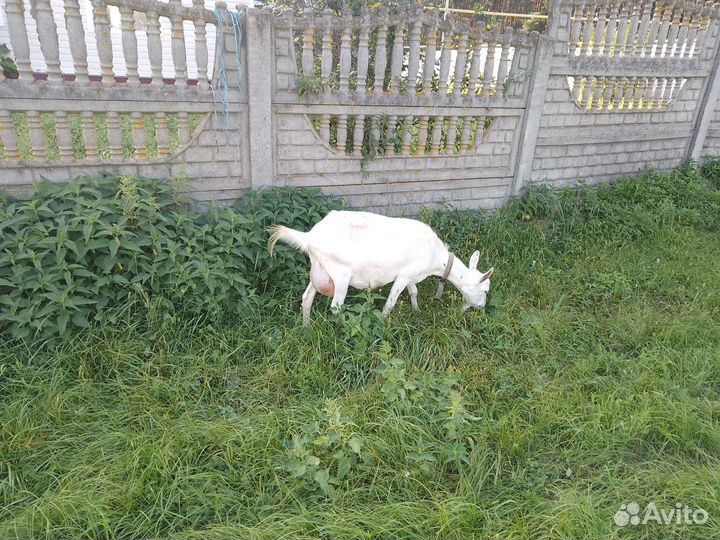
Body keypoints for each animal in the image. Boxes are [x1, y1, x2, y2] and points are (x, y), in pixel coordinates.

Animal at [268, 210, 494, 326]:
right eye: (485, 290)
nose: (482, 307)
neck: (437, 258)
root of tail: (309, 238)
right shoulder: (403, 276)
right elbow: (391, 302)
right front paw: (383, 323)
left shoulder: (411, 274)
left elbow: (414, 291)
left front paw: (417, 310)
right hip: (340, 274)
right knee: (336, 307)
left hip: (319, 271)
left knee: (306, 298)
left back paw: (306, 326)